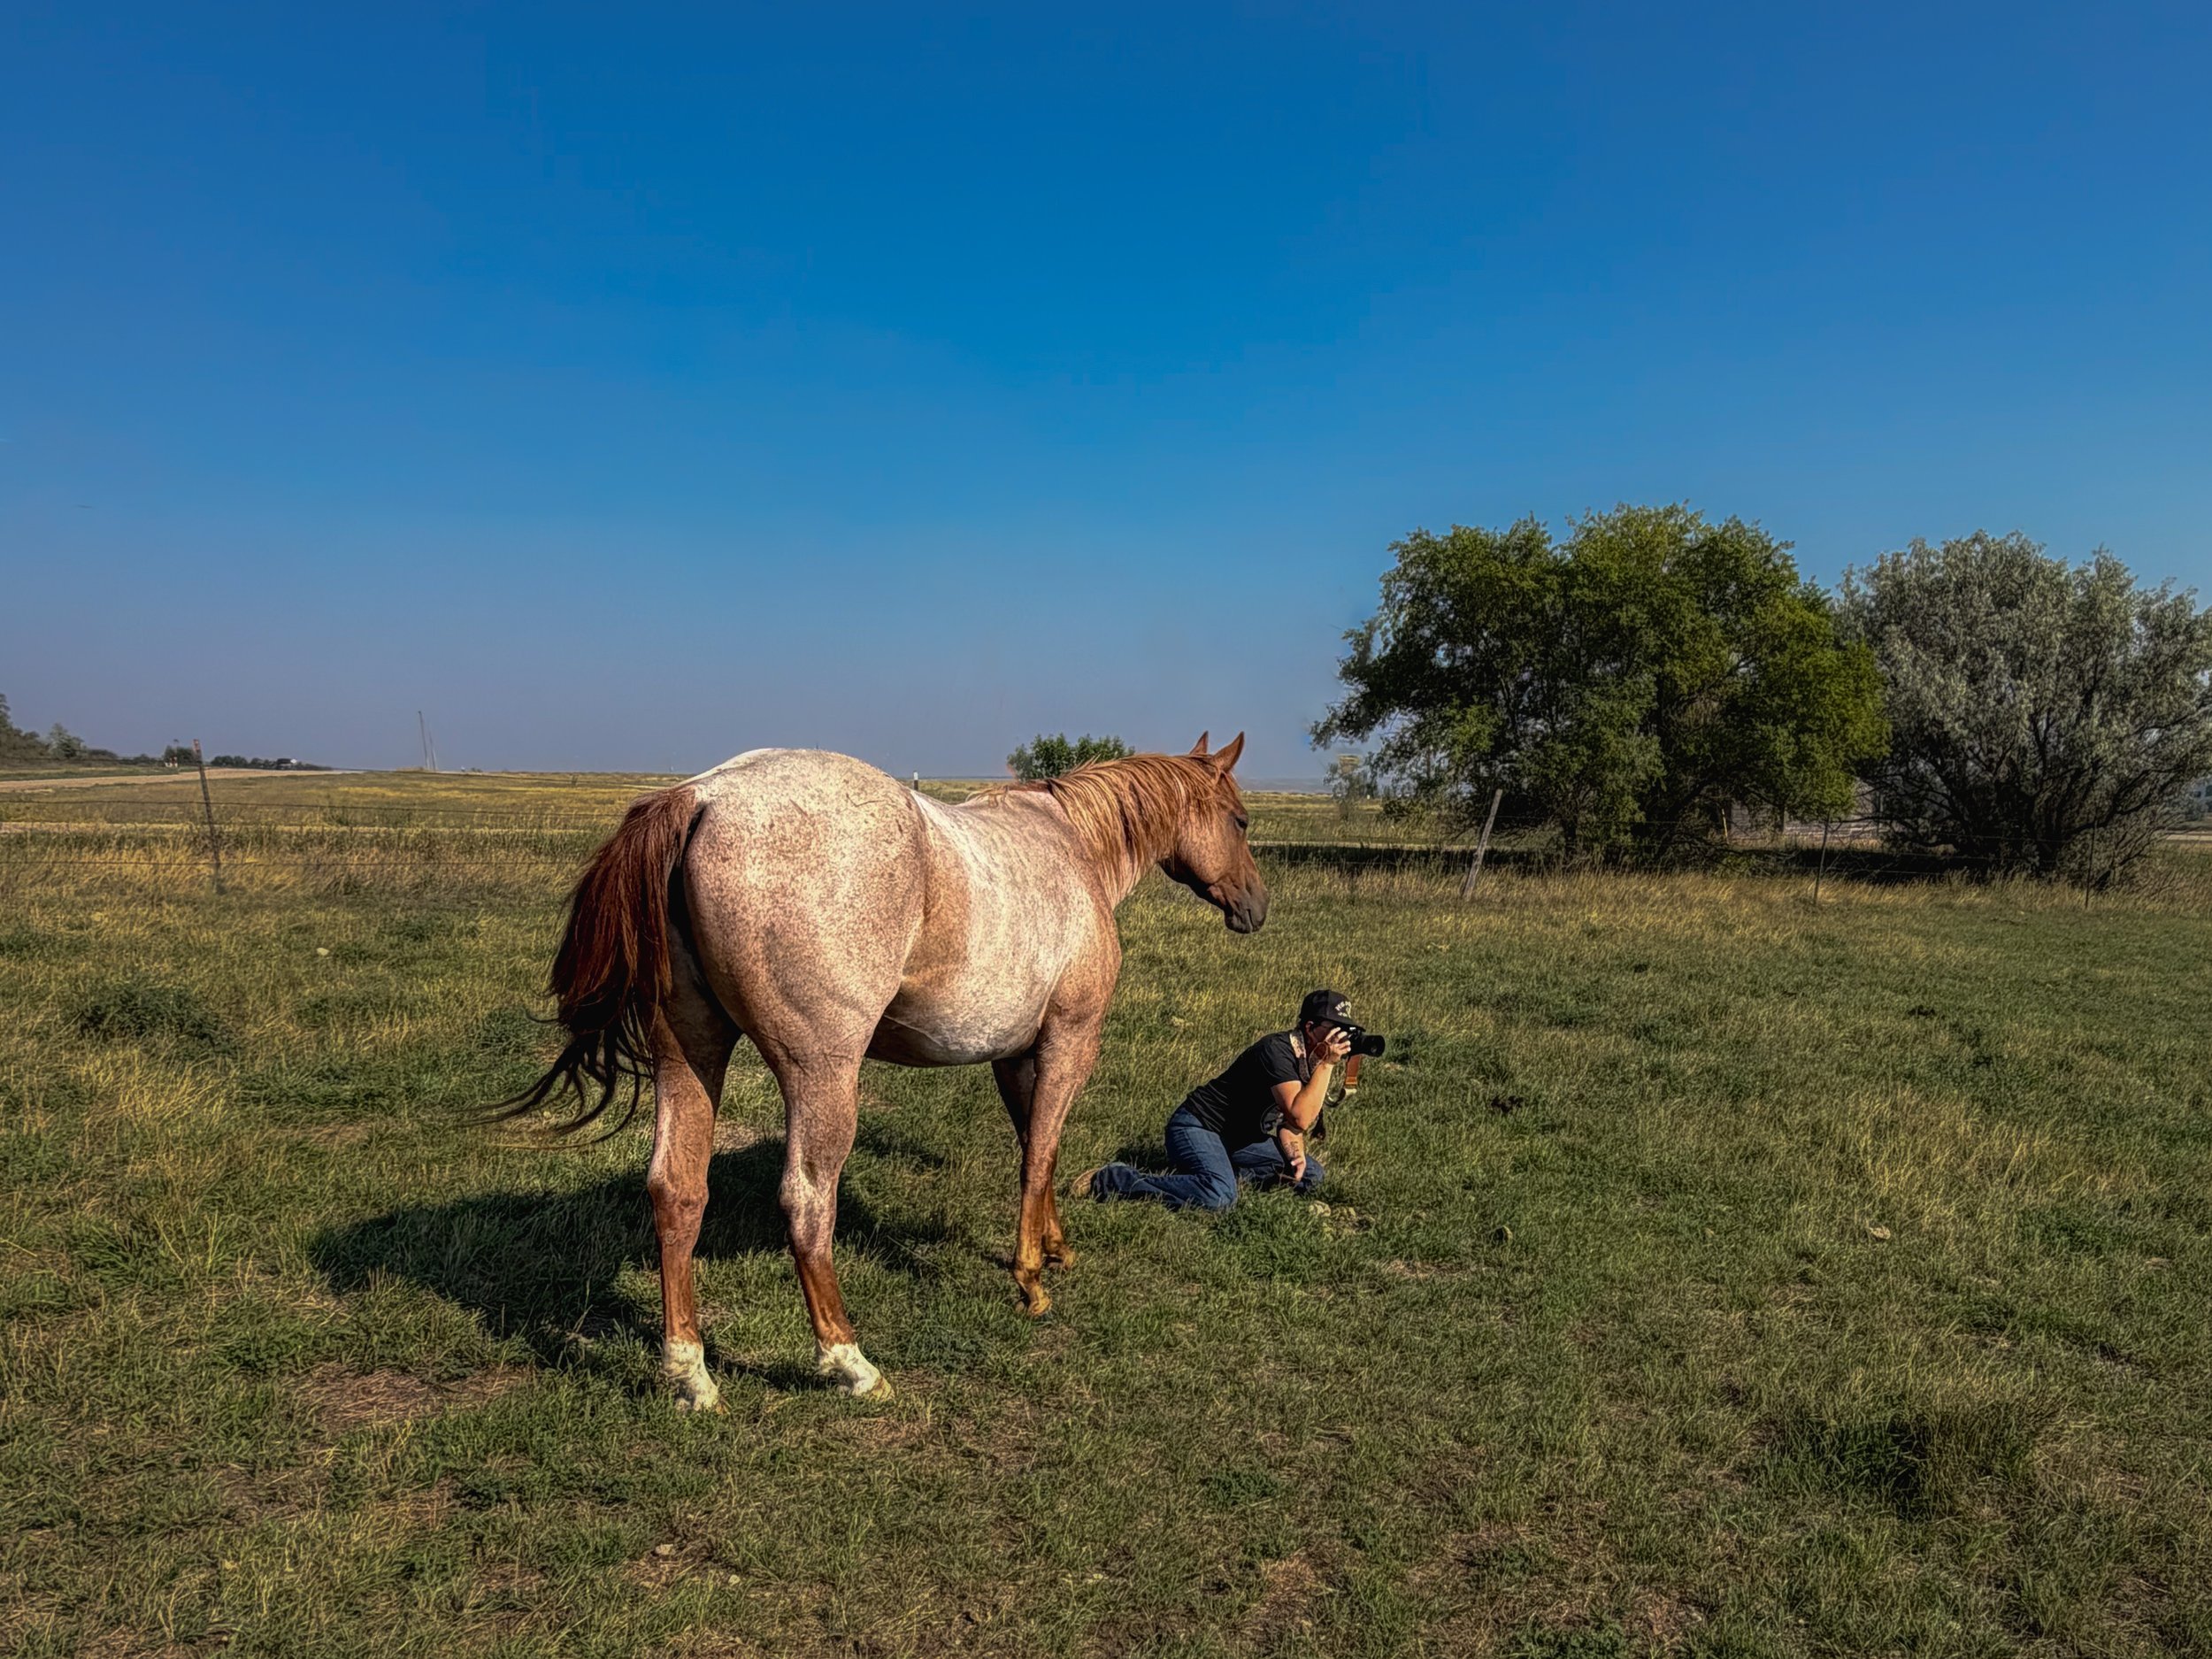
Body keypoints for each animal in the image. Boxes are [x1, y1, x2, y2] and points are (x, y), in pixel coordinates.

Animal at [499, 733, 1267, 1408]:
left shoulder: (1015, 1054)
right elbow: (1041, 1152)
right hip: (822, 1076)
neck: (1071, 847)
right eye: (1239, 818)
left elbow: (1035, 1145)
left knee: (677, 1190)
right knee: (807, 1202)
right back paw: (850, 1361)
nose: (1257, 905)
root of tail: (702, 796)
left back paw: (690, 1373)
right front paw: (1030, 1279)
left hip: (689, 1053)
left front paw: (1053, 1247)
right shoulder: (1069, 1042)